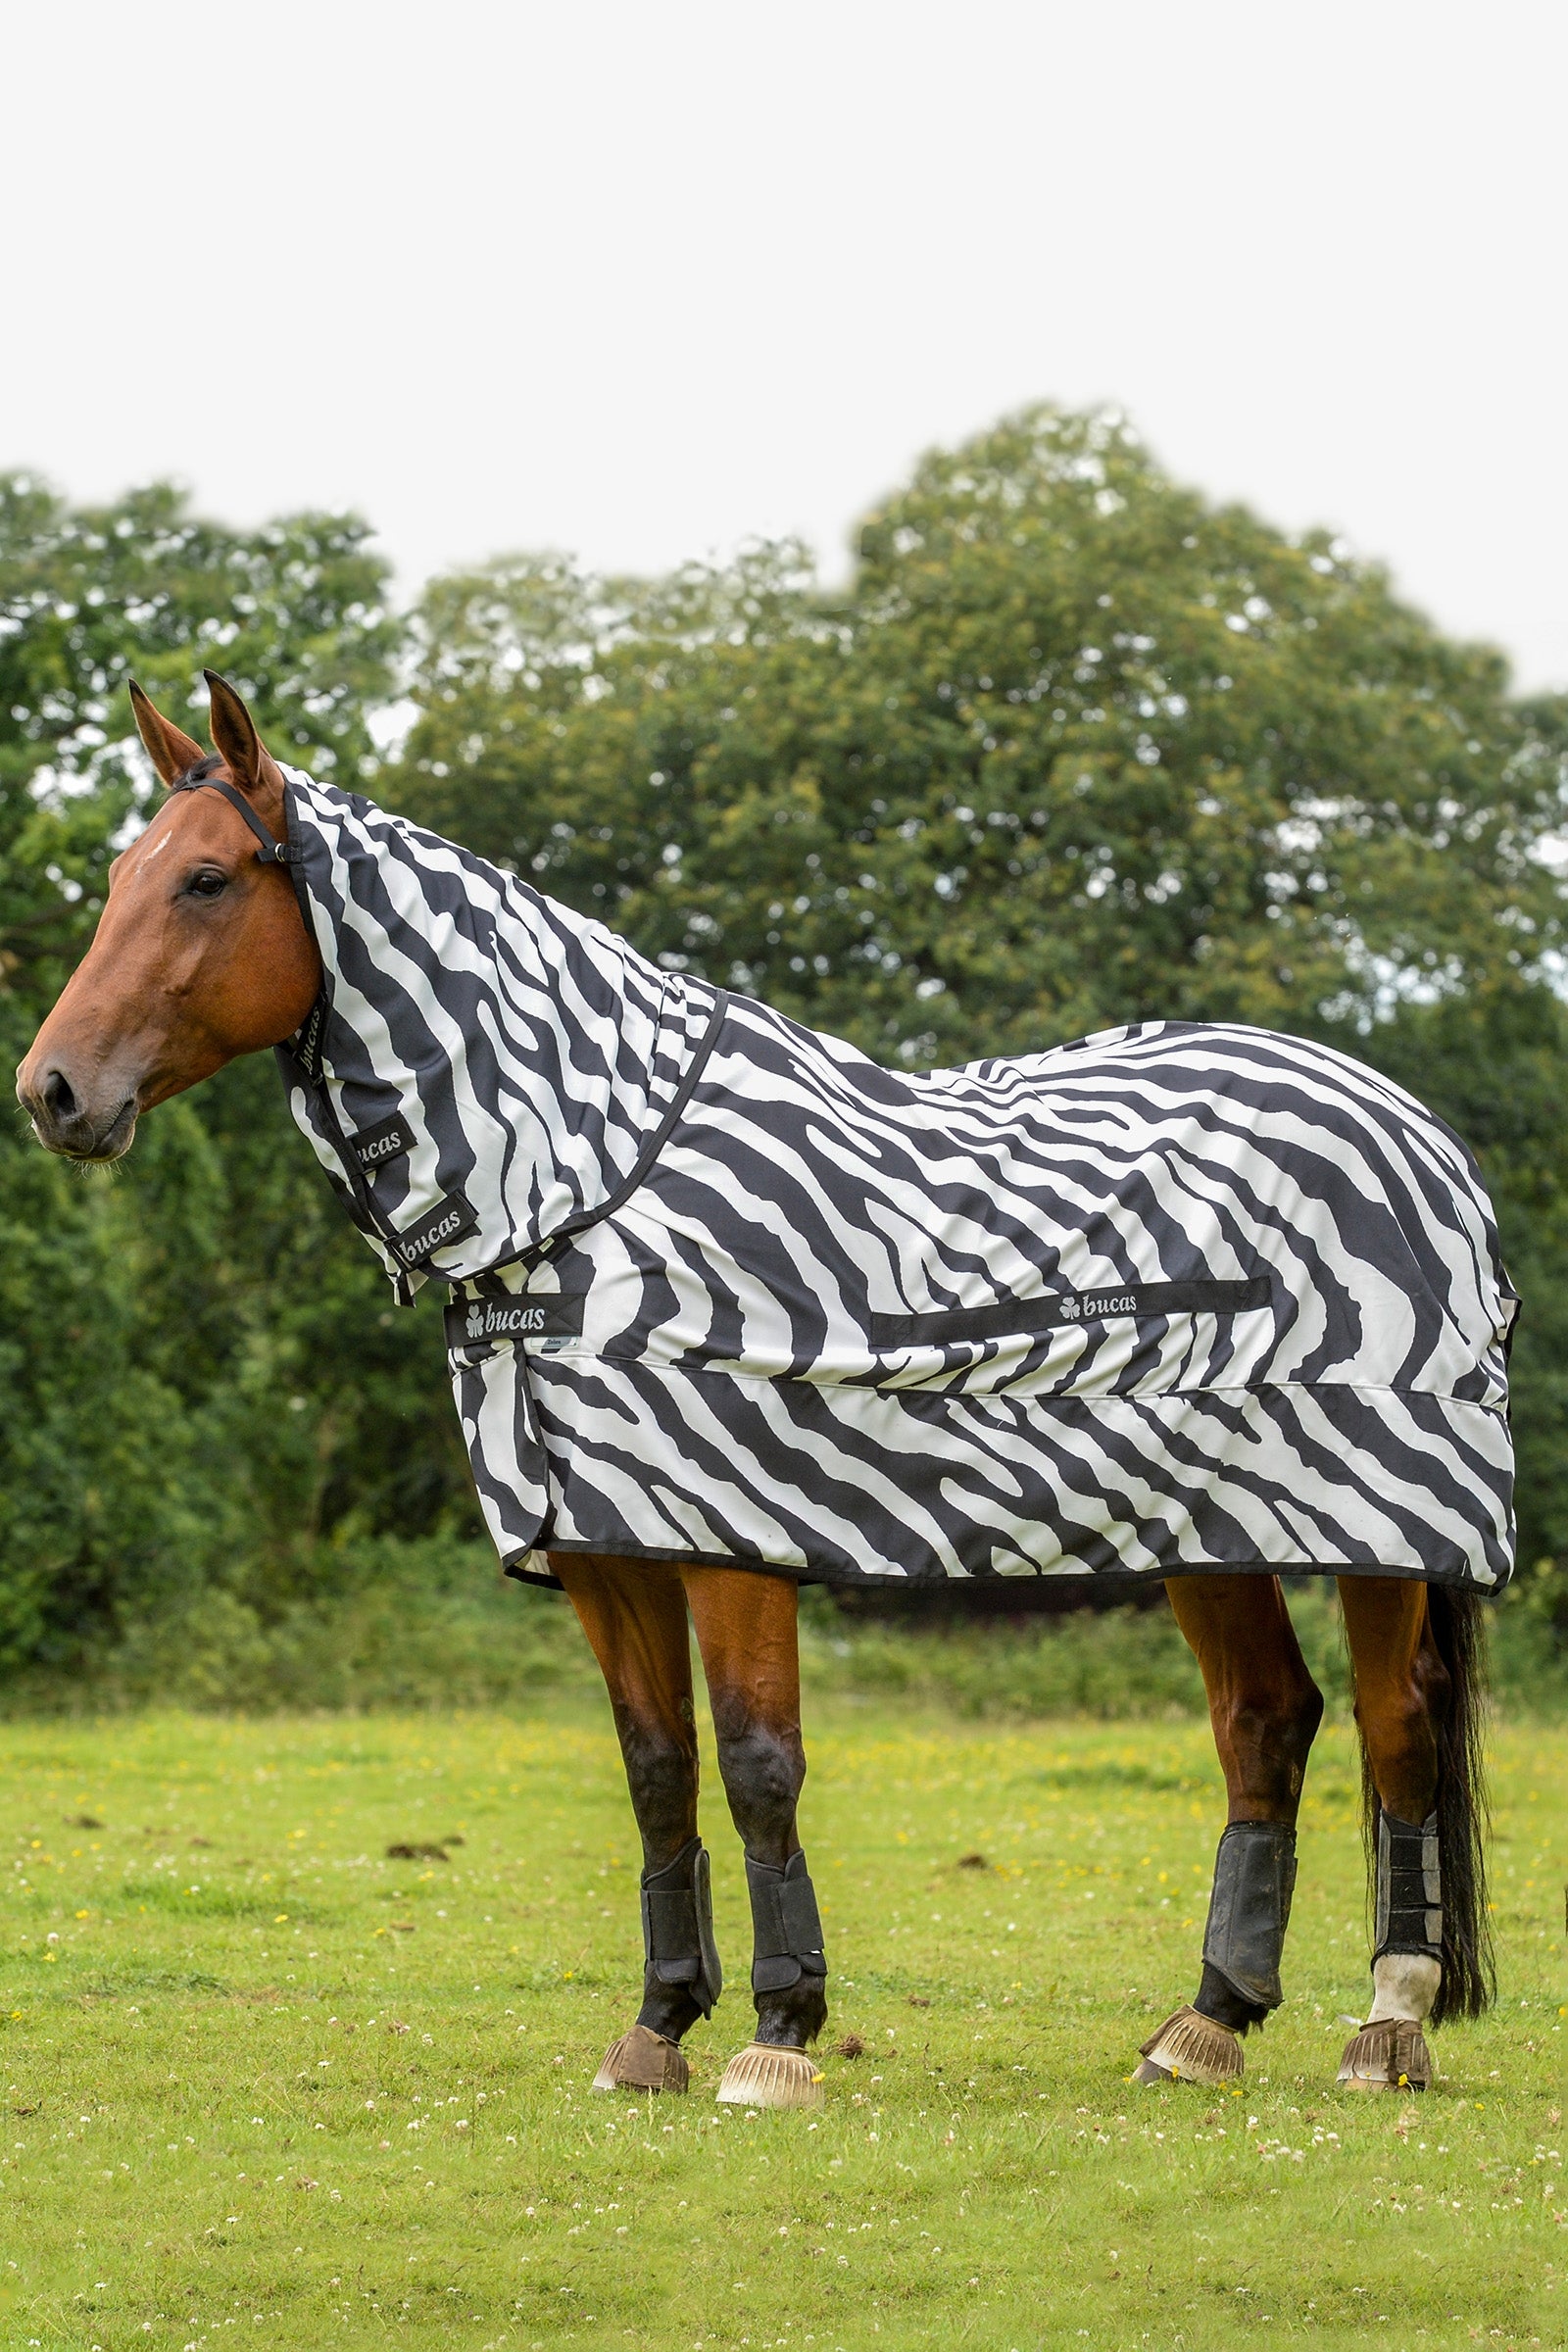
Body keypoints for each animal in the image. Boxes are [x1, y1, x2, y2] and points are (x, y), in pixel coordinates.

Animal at [17, 672, 1504, 2107]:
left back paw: (1387, 2026)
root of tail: (1414, 1127)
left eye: (208, 879)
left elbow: (757, 1767)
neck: (594, 1177)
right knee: (1267, 1723)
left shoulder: (732, 1526)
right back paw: (1205, 2025)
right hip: (1208, 1523)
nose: (53, 1091)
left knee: (1394, 1728)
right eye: (120, 875)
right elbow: (659, 1773)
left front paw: (780, 2033)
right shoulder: (605, 1541)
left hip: (1381, 1527)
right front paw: (657, 2026)